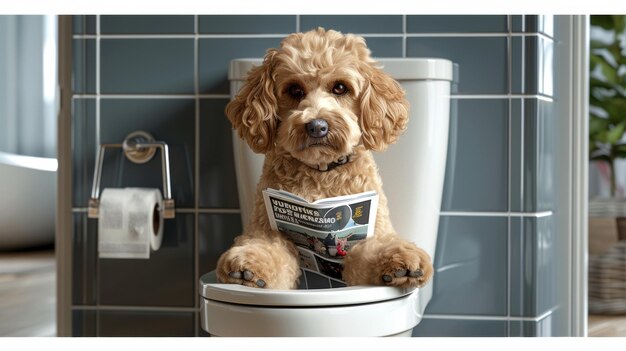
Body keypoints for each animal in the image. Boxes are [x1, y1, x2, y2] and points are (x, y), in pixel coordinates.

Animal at [217, 27, 432, 290]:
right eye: (294, 90)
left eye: (340, 87)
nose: (317, 126)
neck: (321, 171)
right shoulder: (266, 224)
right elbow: (268, 247)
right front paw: (248, 263)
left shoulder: (373, 225)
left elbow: (372, 249)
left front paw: (400, 258)